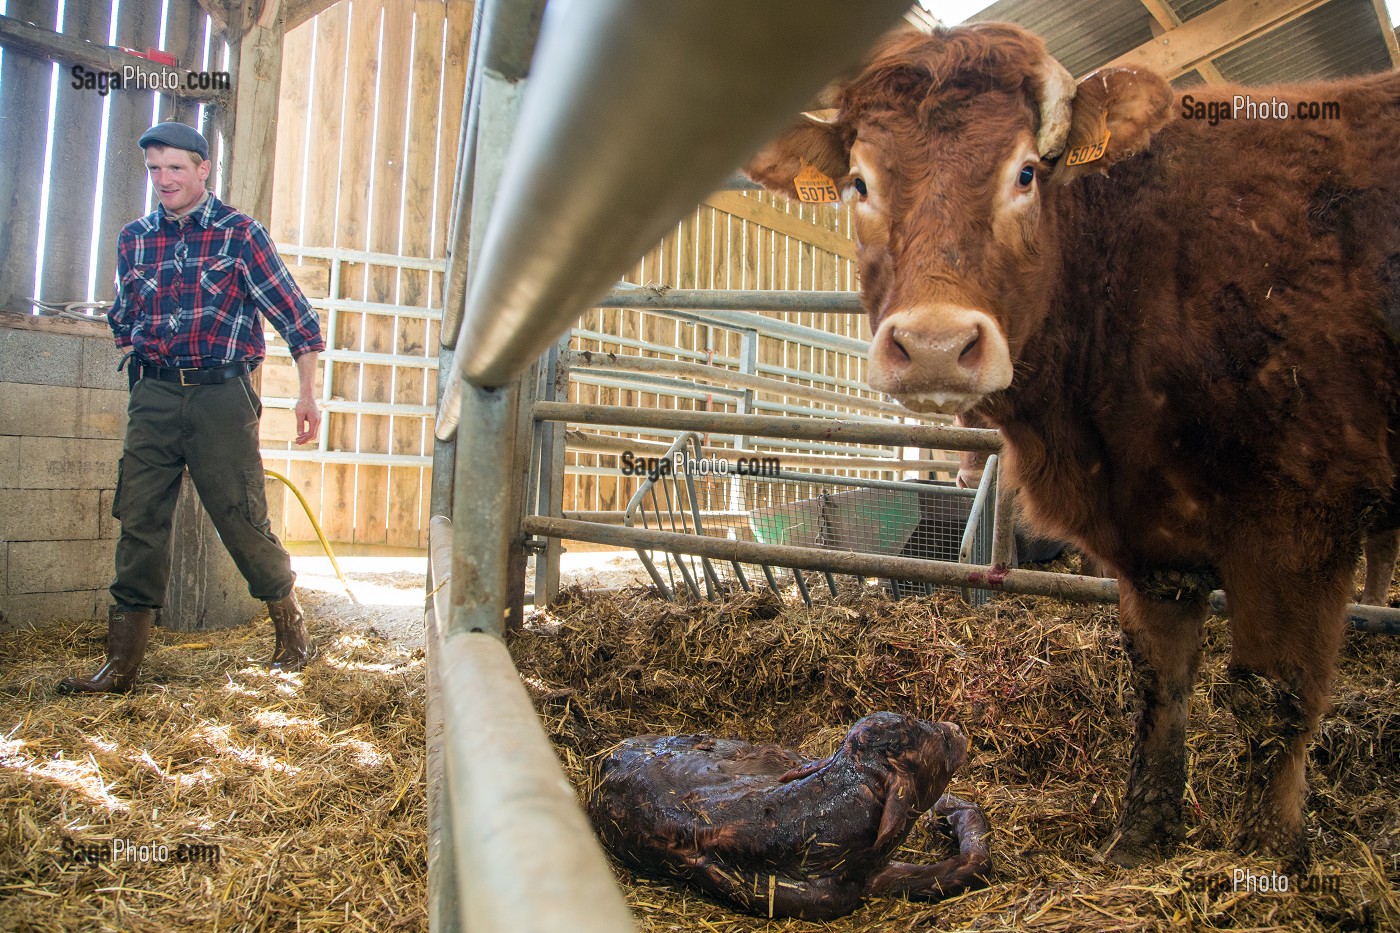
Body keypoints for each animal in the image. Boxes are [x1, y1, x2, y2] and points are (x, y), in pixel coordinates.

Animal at [744, 23, 1400, 866]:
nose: (934, 345)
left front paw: (1270, 853)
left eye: (1026, 172)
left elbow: (1275, 693)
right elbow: (1161, 680)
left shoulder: (1298, 521)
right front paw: (1141, 834)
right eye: (860, 183)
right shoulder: (1155, 535)